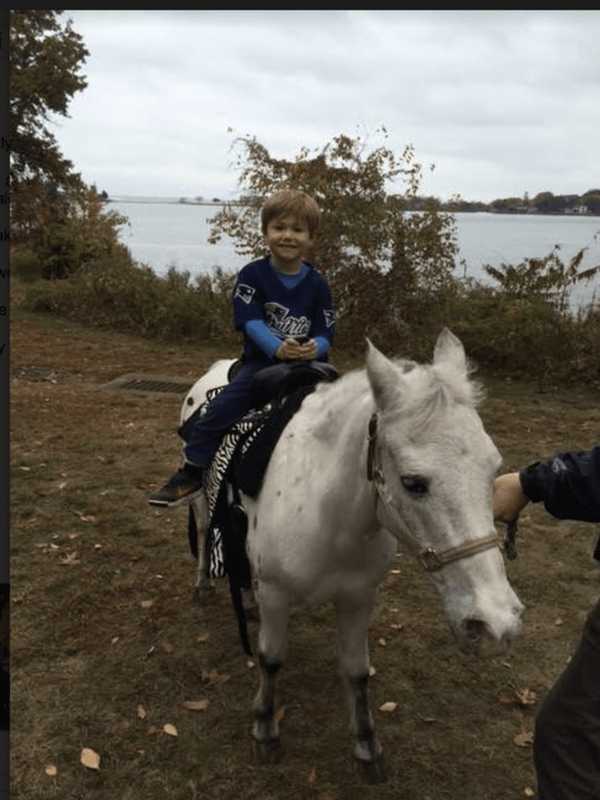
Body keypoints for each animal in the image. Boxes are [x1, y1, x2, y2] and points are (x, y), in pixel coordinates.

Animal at [182, 330, 520, 780]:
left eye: (493, 469)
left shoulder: (359, 597)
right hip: (202, 501)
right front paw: (265, 730)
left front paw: (366, 745)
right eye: (413, 483)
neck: (330, 514)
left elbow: (357, 671)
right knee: (205, 533)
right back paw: (203, 583)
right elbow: (270, 659)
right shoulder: (276, 593)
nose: (496, 625)